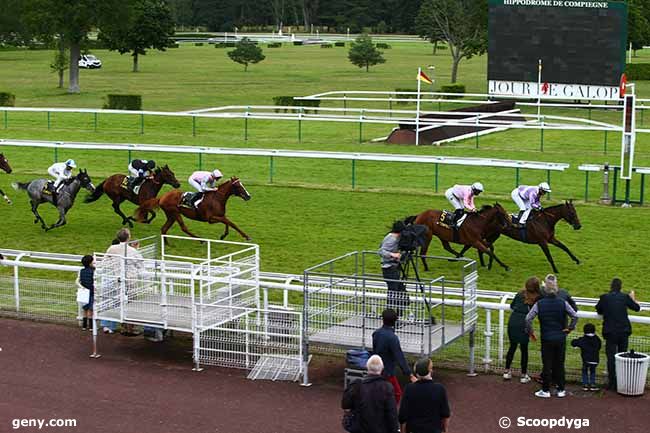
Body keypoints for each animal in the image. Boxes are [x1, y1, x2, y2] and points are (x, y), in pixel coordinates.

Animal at [456, 200, 584, 274]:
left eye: (576, 212)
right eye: (572, 213)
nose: (578, 226)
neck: (545, 220)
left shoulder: (550, 239)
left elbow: (565, 247)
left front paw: (577, 260)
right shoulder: (542, 241)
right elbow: (549, 256)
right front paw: (556, 270)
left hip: (493, 235)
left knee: (483, 247)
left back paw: (486, 264)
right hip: (488, 234)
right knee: (477, 246)